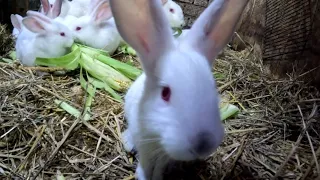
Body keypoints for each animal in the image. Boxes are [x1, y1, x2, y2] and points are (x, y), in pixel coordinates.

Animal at [110, 0, 250, 179]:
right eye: (165, 93)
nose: (202, 145)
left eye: (212, 88)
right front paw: (142, 175)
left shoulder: (164, 156)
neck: (158, 136)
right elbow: (146, 165)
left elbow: (159, 167)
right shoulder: (145, 147)